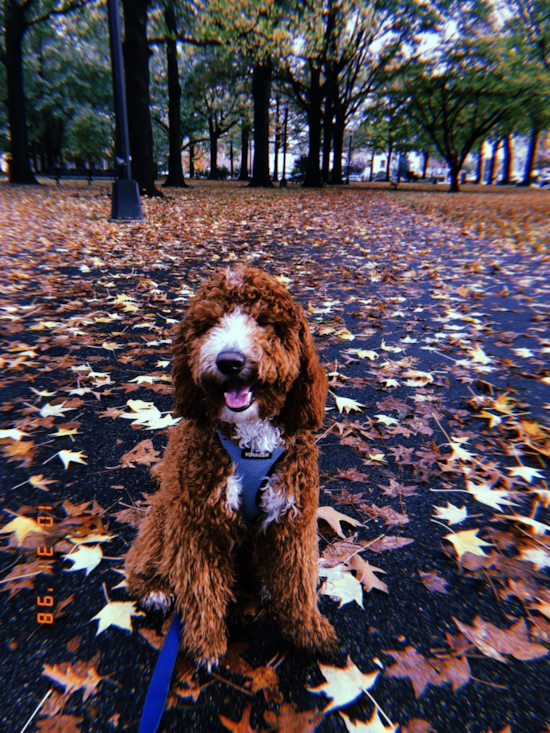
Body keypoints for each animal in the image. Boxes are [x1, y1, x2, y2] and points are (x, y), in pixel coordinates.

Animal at [125, 264, 338, 668]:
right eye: (209, 323)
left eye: (266, 322)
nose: (229, 361)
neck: (251, 442)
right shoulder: (198, 523)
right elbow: (201, 587)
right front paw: (205, 643)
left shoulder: (293, 516)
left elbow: (299, 580)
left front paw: (309, 630)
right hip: (163, 518)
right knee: (144, 559)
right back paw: (155, 588)